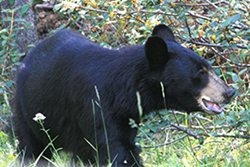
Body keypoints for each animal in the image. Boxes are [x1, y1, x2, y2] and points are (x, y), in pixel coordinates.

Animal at [15, 24, 234, 166]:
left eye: (208, 67)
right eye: (200, 73)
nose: (229, 92)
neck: (123, 92)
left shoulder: (127, 116)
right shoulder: (97, 108)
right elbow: (117, 149)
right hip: (28, 113)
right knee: (31, 147)